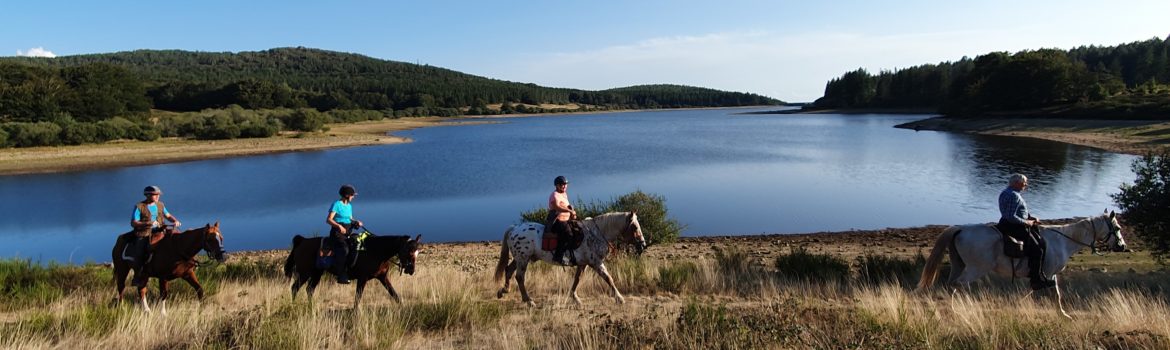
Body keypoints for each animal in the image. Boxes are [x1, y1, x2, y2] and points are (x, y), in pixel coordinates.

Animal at [281, 234, 421, 309]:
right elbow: (358, 297)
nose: (411, 270)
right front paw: (355, 312)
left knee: (309, 289)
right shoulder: (362, 278)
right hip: (305, 273)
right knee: (295, 288)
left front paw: (403, 307)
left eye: (417, 252)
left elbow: (394, 294)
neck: (376, 251)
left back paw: (311, 307)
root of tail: (303, 241)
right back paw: (293, 306)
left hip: (316, 274)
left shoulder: (382, 277)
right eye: (408, 251)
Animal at [493, 210, 650, 306]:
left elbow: (577, 279)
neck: (596, 234)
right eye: (635, 227)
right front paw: (619, 298)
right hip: (523, 259)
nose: (643, 244)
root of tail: (514, 228)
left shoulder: (583, 264)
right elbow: (608, 278)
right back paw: (528, 301)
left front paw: (575, 297)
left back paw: (503, 291)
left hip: (520, 258)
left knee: (508, 270)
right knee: (519, 277)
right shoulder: (596, 263)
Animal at [917, 210, 1127, 318]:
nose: (1122, 246)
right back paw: (966, 307)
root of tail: (960, 229)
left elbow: (1048, 293)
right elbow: (1043, 292)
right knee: (960, 285)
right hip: (976, 268)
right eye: (1117, 227)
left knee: (951, 284)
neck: (1063, 241)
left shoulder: (1047, 275)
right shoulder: (1046, 274)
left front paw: (1061, 314)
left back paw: (954, 308)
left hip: (959, 264)